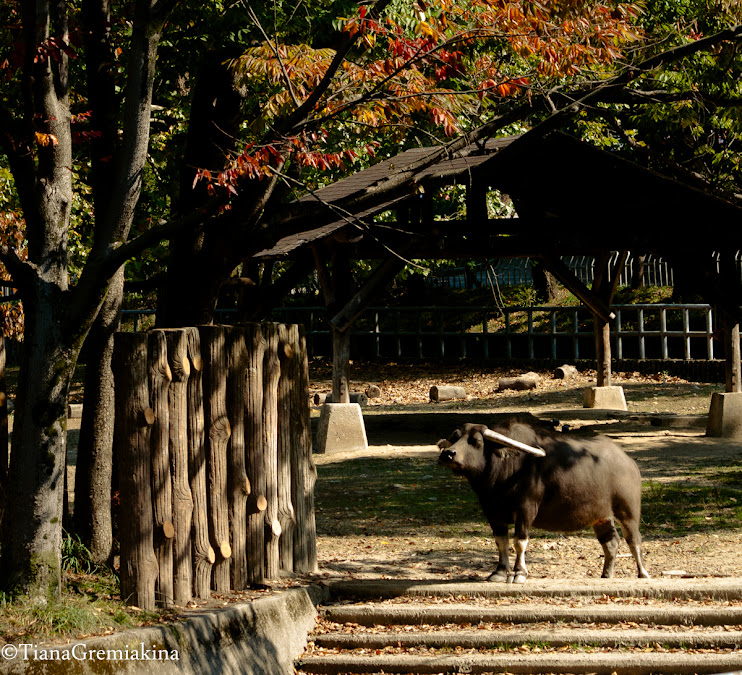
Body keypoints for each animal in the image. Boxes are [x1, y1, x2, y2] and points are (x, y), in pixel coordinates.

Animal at [438, 414, 652, 584]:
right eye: (455, 438)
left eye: (476, 441)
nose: (448, 454)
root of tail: (629, 463)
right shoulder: (492, 512)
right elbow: (501, 542)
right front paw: (499, 572)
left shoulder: (525, 510)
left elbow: (519, 542)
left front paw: (519, 573)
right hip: (601, 516)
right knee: (611, 542)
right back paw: (606, 574)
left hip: (628, 511)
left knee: (634, 539)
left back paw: (643, 573)